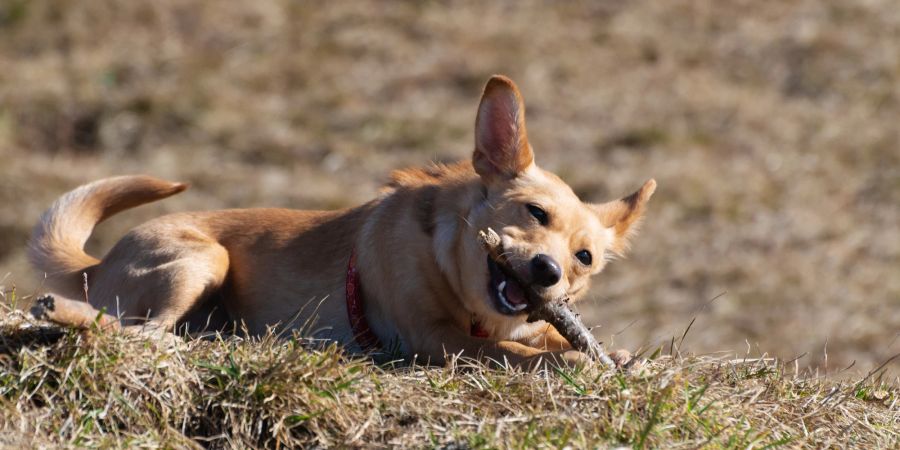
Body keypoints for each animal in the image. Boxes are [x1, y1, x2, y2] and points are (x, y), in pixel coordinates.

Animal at [29, 74, 652, 370]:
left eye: (585, 258)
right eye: (534, 212)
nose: (548, 272)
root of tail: (97, 262)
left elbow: (545, 335)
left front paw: (609, 352)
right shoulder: (435, 339)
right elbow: (518, 356)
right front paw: (573, 361)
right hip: (204, 259)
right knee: (135, 330)